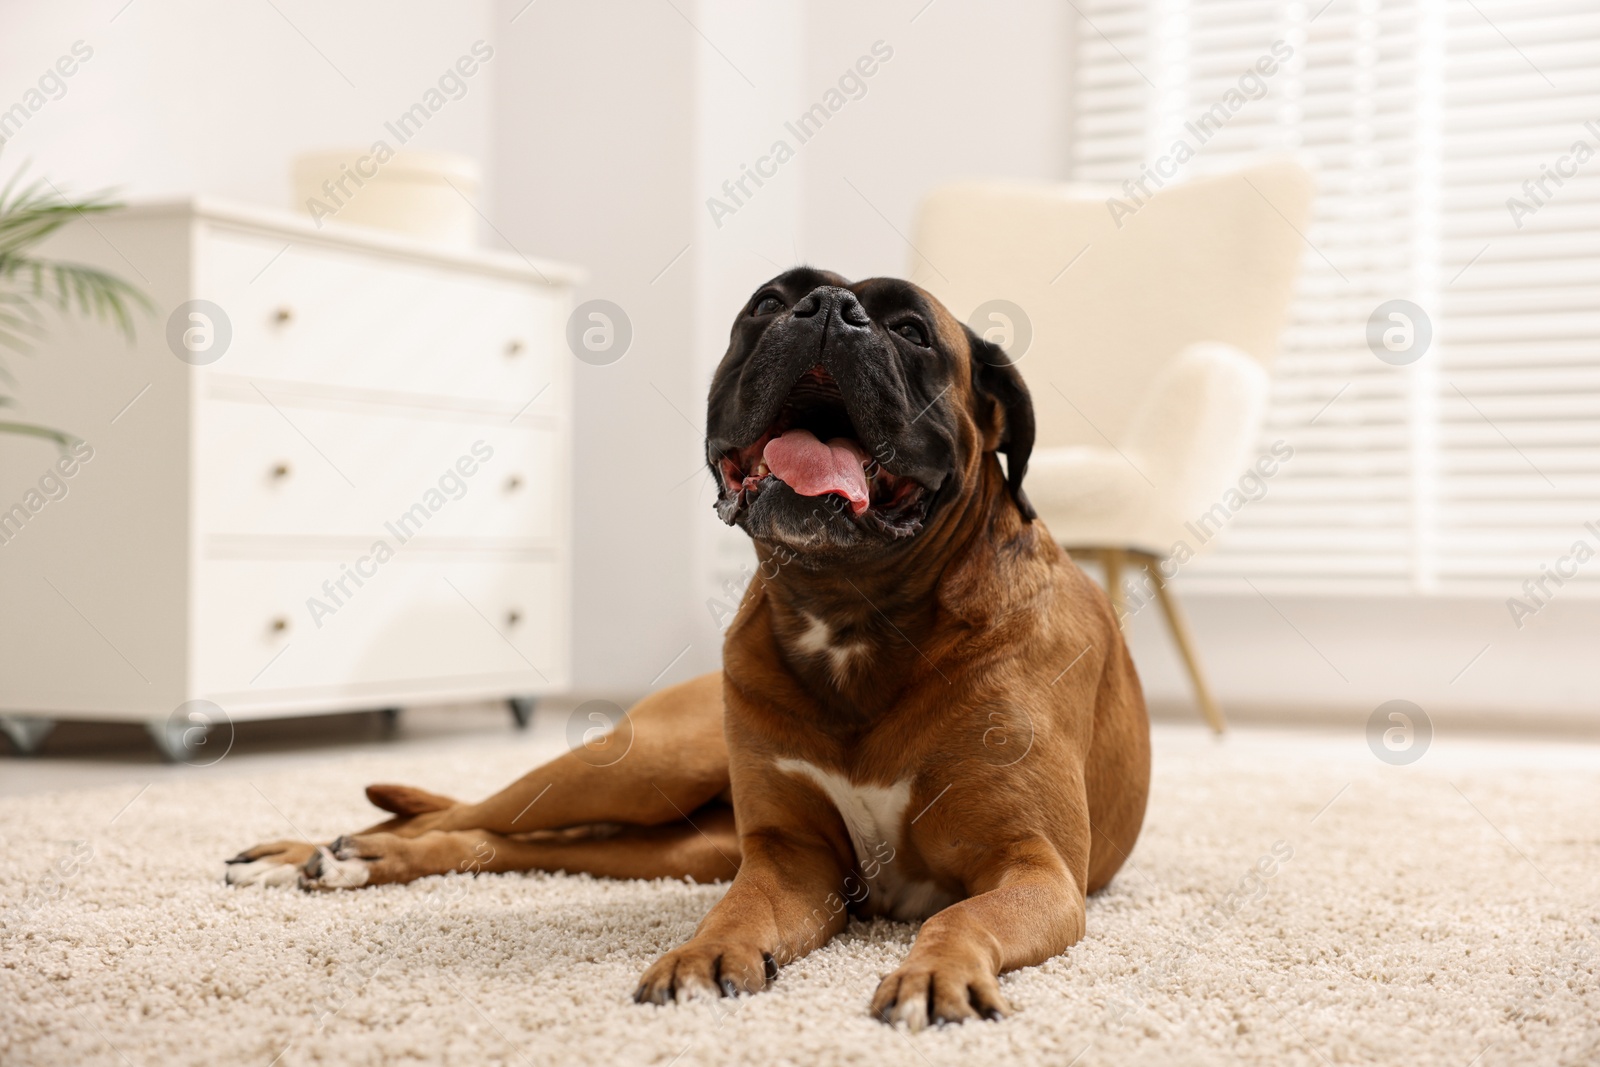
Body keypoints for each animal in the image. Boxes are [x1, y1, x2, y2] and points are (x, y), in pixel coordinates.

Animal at [228, 271, 1152, 1030]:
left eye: (912, 331)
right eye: (770, 301)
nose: (828, 310)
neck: (852, 612)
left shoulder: (1033, 870)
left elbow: (959, 914)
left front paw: (937, 972)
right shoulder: (790, 864)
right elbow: (736, 913)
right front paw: (705, 953)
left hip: (682, 842)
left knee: (520, 841)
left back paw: (350, 857)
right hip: (642, 766)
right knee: (469, 811)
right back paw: (321, 853)